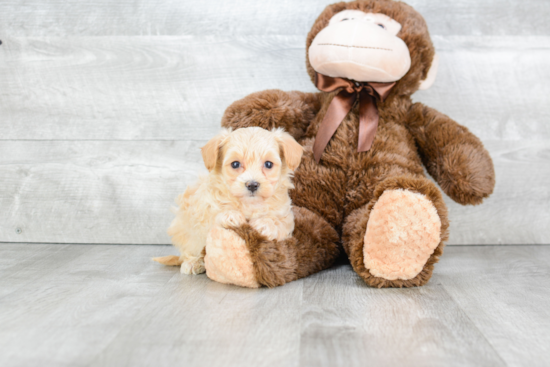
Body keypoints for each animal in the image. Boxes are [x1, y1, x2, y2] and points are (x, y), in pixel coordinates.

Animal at [153, 128, 304, 274]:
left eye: (268, 164)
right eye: (235, 164)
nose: (252, 184)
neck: (249, 203)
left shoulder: (286, 216)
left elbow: (279, 222)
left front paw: (266, 224)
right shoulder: (205, 208)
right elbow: (216, 213)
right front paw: (230, 215)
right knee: (190, 249)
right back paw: (193, 262)